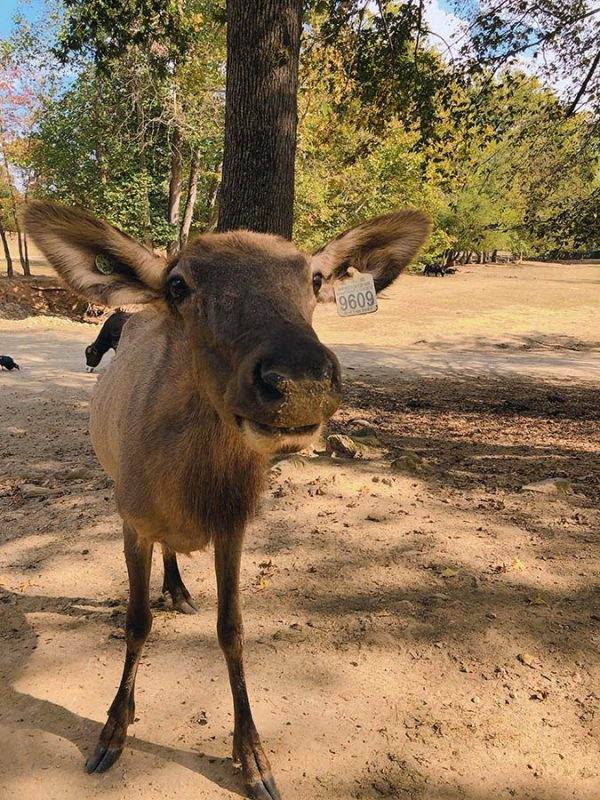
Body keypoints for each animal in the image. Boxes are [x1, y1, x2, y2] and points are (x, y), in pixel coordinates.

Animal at [27, 202, 432, 800]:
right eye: (178, 283)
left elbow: (233, 629)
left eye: (314, 278)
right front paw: (111, 733)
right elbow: (136, 622)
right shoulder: (132, 517)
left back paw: (179, 588)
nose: (300, 380)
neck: (191, 492)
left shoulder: (234, 523)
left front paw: (254, 757)